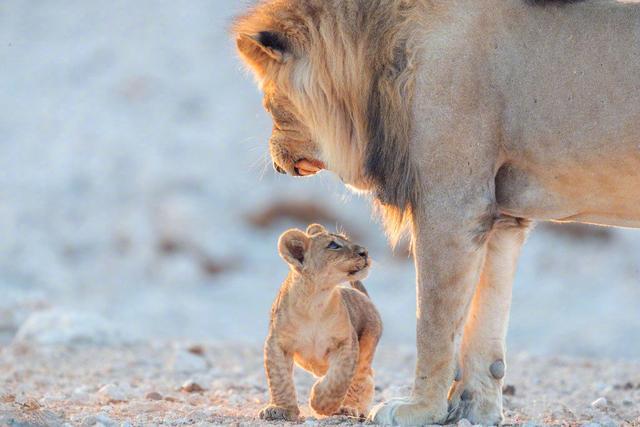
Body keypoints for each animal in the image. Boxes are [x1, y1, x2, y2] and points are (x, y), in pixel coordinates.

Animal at [234, 0, 640, 424]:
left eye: (269, 103)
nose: (277, 164)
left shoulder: (452, 203)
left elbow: (433, 323)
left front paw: (420, 408)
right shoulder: (502, 216)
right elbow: (484, 326)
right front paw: (473, 408)